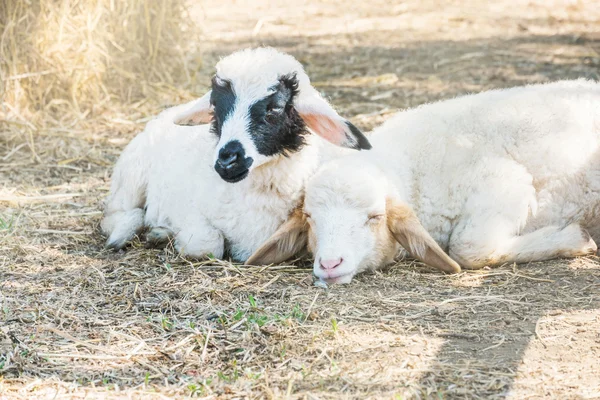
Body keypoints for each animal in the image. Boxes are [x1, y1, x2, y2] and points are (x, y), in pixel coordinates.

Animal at [100, 47, 368, 260]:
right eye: (216, 106)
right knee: (115, 214)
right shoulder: (185, 210)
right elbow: (209, 244)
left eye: (275, 109)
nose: (226, 159)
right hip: (131, 177)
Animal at [247, 79, 600, 282]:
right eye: (310, 217)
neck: (409, 168)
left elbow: (469, 249)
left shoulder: (506, 183)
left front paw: (575, 240)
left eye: (375, 217)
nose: (330, 264)